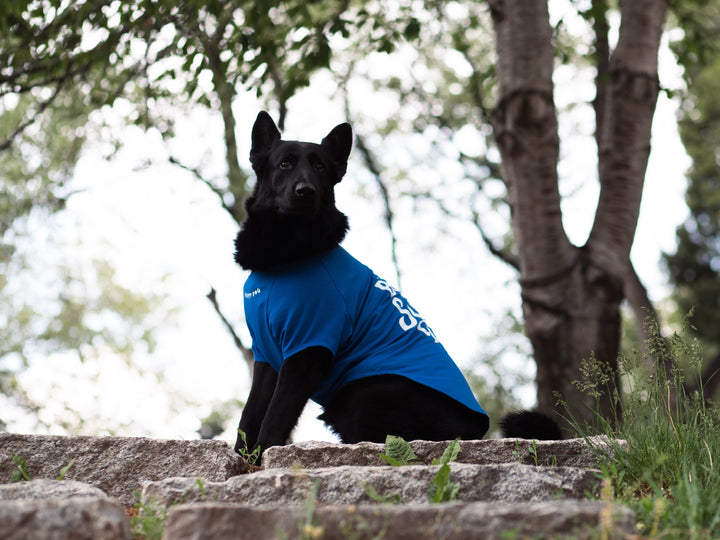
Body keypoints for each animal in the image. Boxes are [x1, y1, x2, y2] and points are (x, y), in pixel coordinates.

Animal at [233, 112, 560, 458]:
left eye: (320, 168)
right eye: (284, 164)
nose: (305, 191)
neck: (285, 257)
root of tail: (474, 432)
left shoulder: (307, 350)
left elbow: (275, 416)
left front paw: (261, 457)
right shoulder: (267, 354)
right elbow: (250, 414)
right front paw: (242, 459)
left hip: (361, 393)